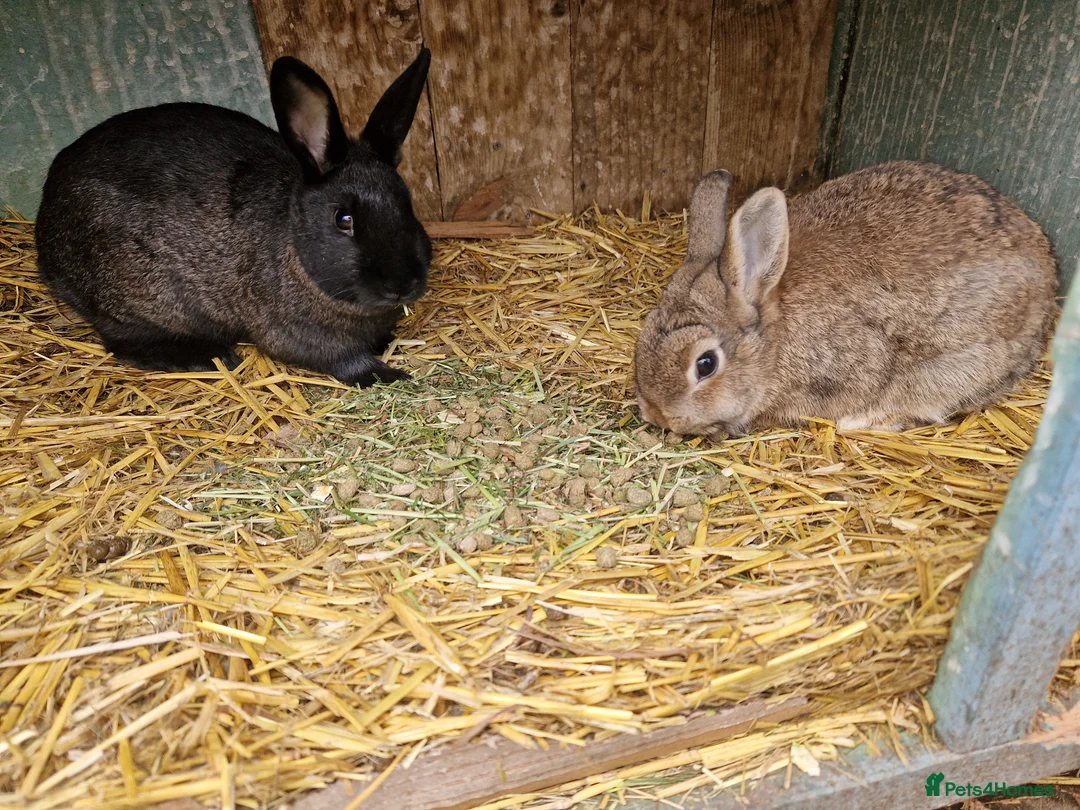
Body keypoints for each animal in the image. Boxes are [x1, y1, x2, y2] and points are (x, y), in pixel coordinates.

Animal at [35, 49, 433, 387]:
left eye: (407, 203)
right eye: (343, 219)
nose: (402, 284)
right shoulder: (298, 335)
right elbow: (342, 359)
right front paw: (388, 375)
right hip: (136, 299)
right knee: (122, 341)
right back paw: (208, 356)